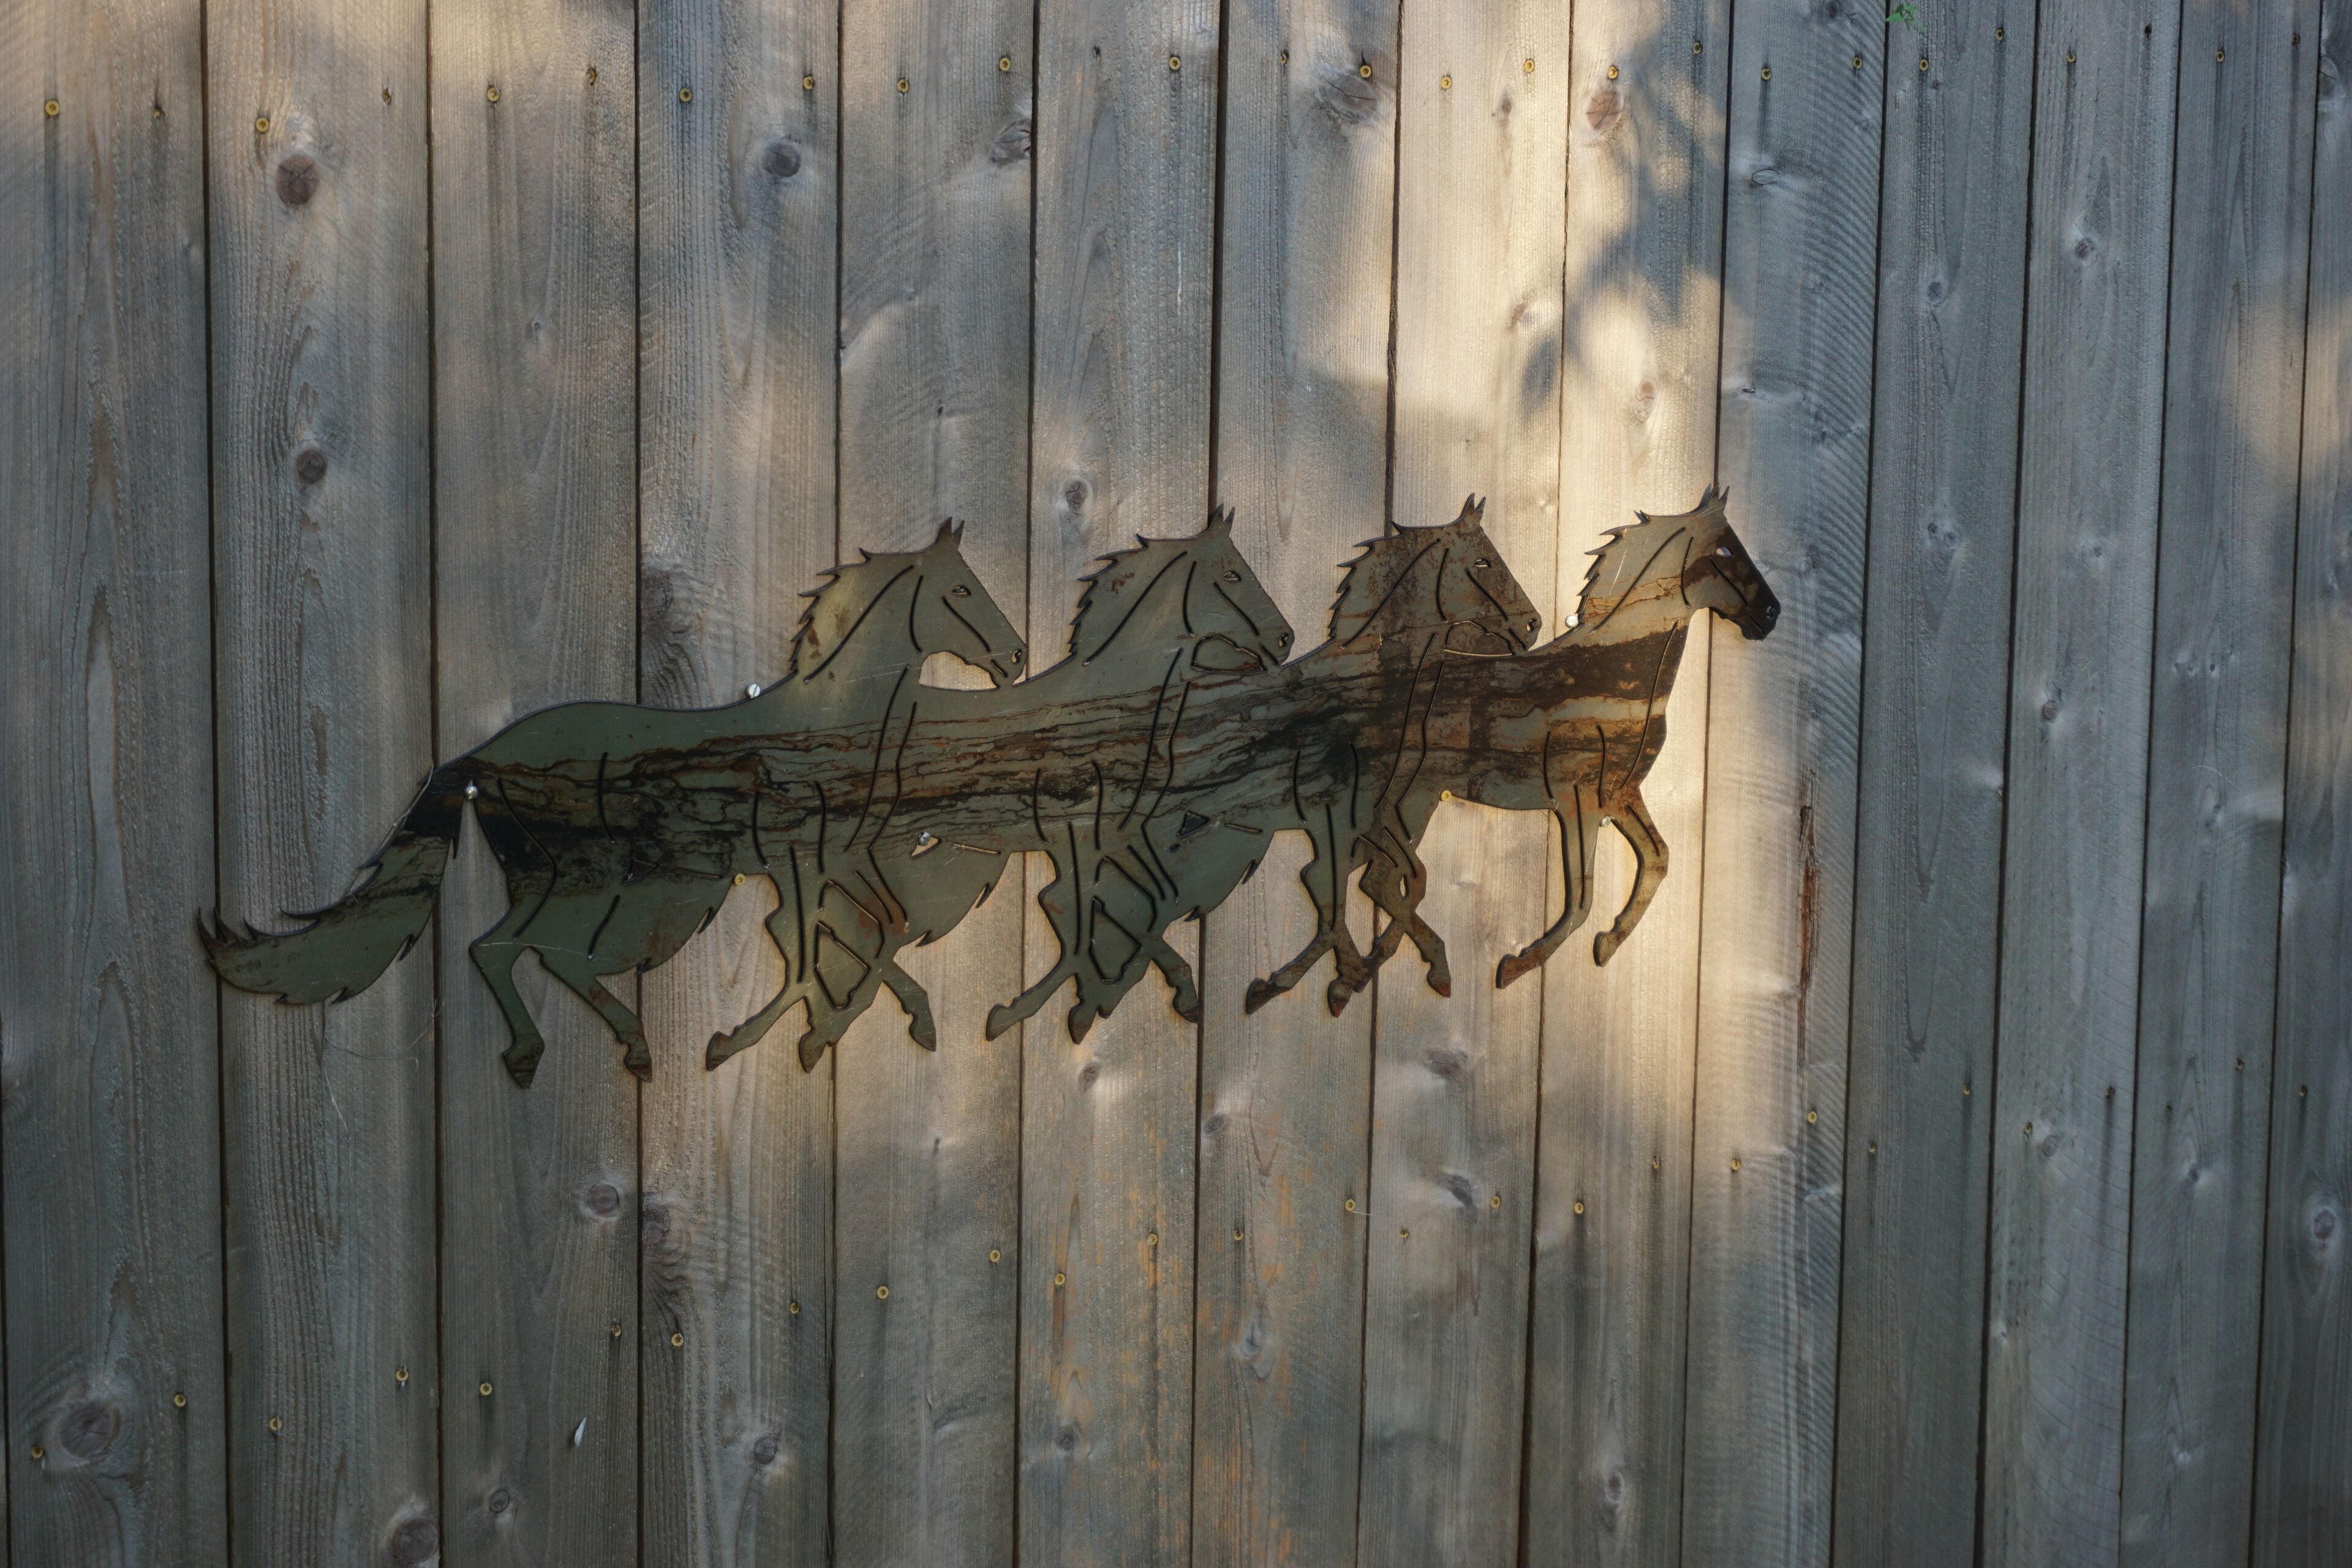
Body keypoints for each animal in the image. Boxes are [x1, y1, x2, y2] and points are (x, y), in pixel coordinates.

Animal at [202, 520, 1025, 1084]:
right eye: (960, 590)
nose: (1016, 656)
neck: (829, 718)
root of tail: (475, 761)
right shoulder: (807, 859)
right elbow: (831, 945)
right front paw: (761, 1039)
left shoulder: (825, 861)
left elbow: (874, 933)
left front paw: (892, 1022)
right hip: (574, 879)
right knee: (505, 948)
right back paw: (549, 1052)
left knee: (542, 955)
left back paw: (625, 1044)